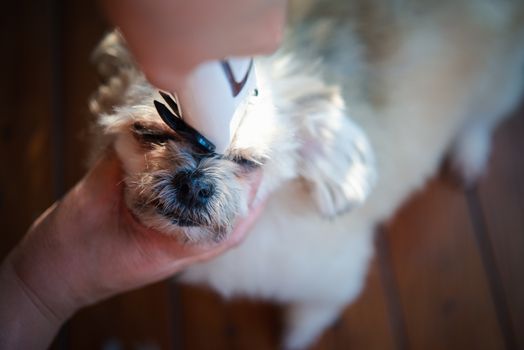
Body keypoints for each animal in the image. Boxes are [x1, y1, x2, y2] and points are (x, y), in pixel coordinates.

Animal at [90, 0, 524, 348]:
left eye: (248, 162)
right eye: (149, 133)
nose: (194, 183)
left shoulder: (330, 283)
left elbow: (307, 321)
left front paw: (293, 339)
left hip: (497, 80)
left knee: (482, 117)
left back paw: (468, 154)